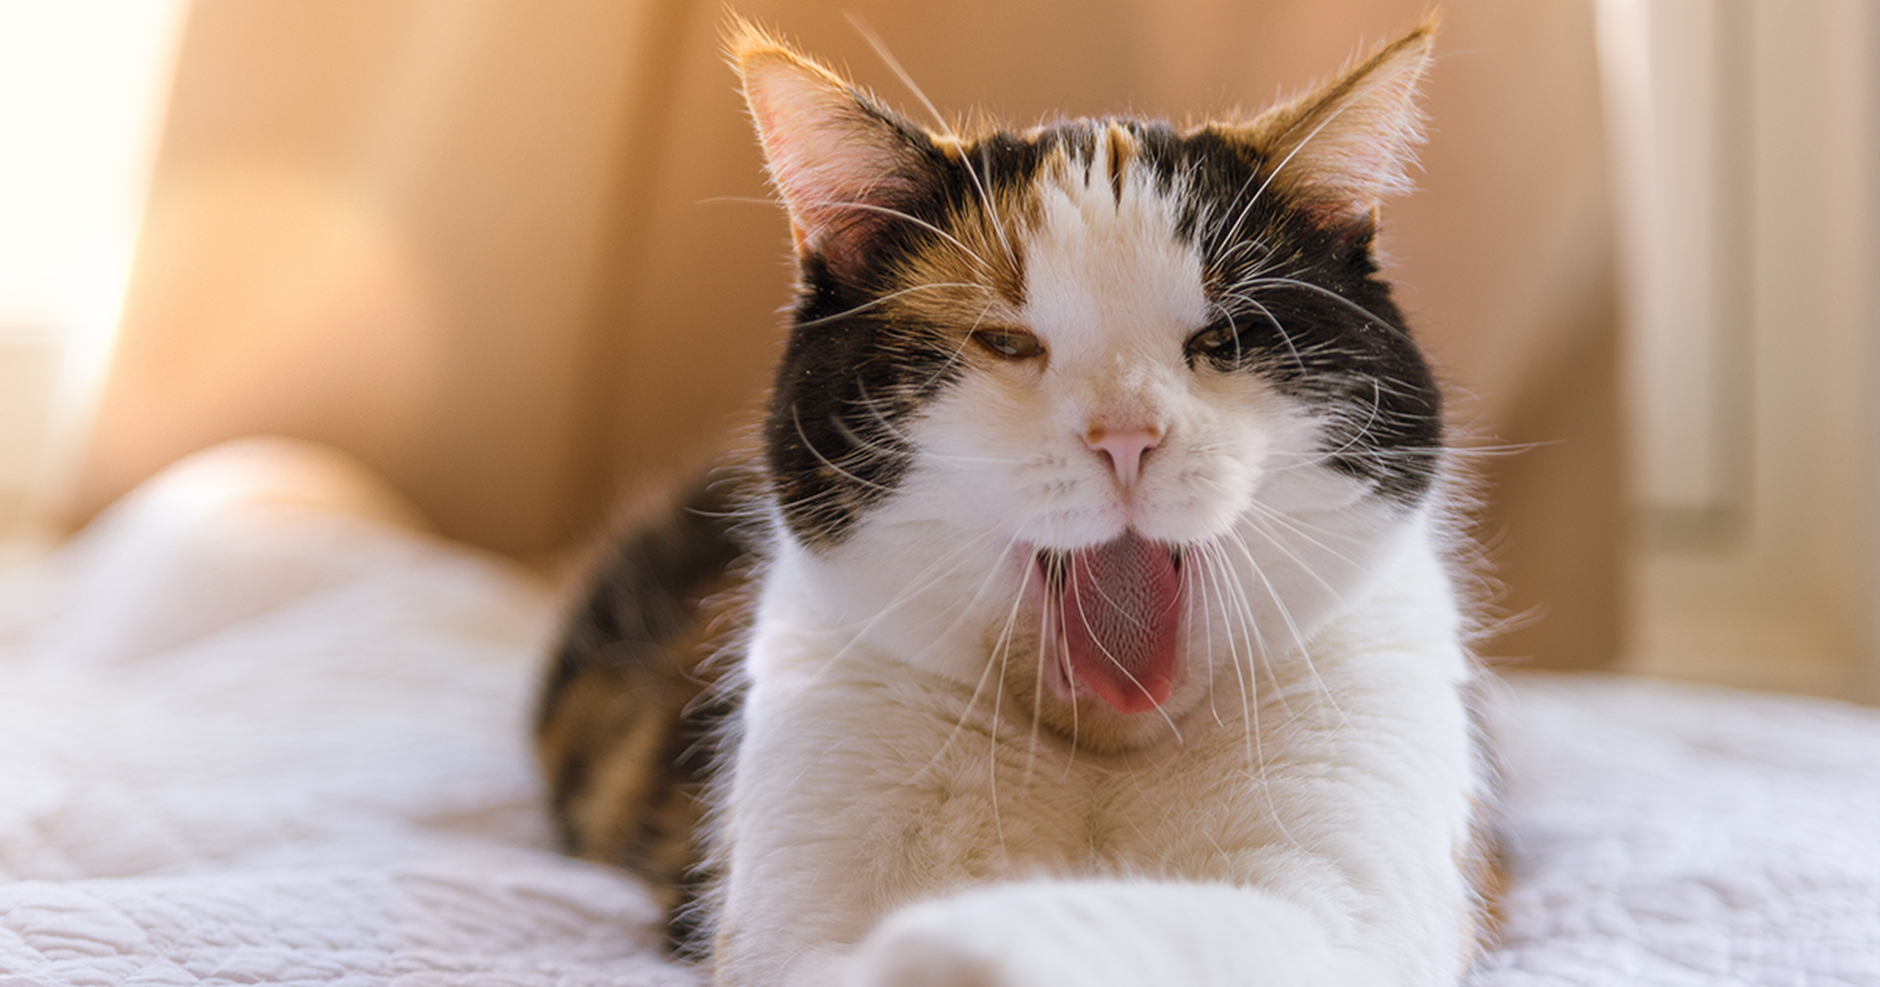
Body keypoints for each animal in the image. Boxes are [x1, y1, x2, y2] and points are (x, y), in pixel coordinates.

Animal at [533, 15, 1496, 985]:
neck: (1101, 757)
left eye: (1226, 338)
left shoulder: (1356, 876)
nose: (1126, 436)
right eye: (1005, 341)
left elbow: (1200, 922)